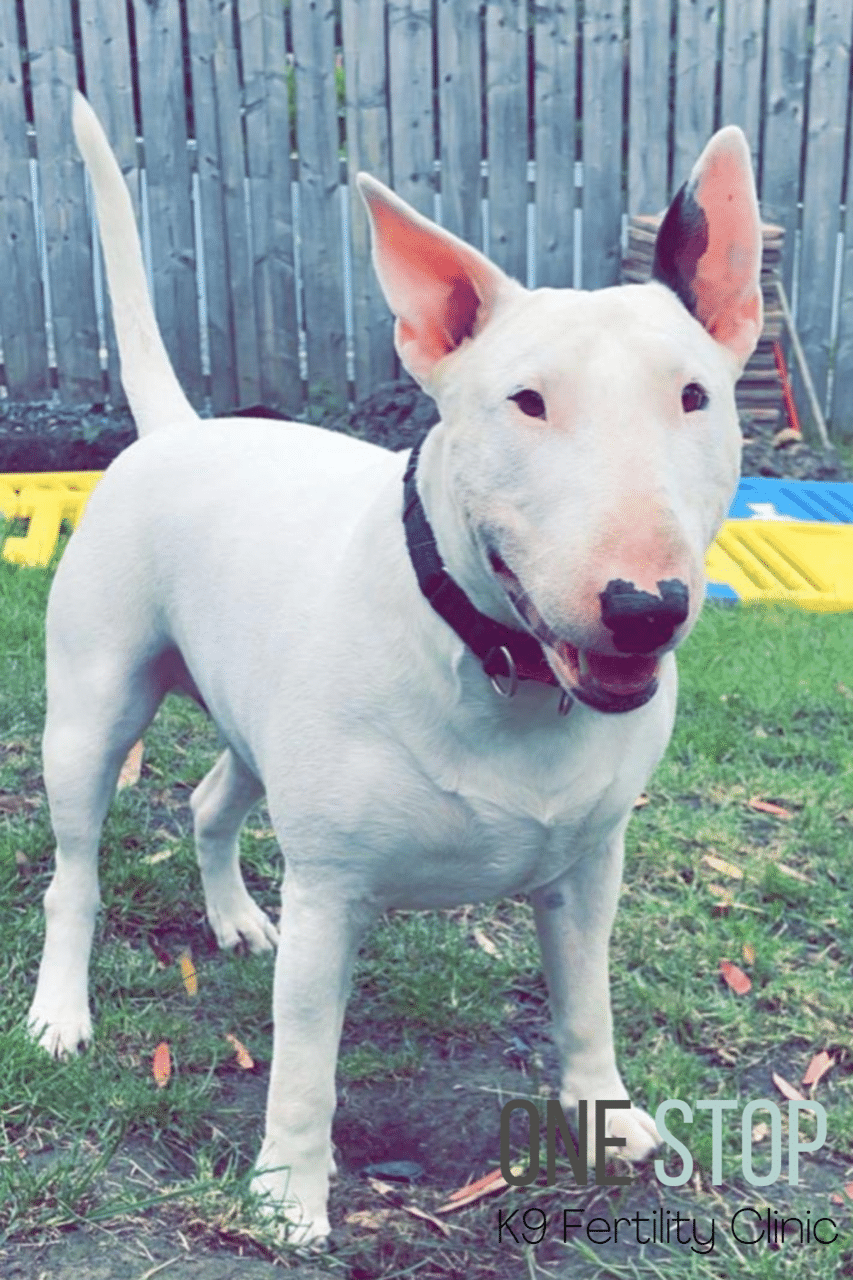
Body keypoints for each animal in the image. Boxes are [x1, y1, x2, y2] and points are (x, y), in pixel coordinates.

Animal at [28, 94, 758, 1244]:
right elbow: (304, 1065)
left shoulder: (589, 868)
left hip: (252, 721)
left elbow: (584, 1002)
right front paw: (287, 1195)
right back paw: (60, 1009)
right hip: (91, 713)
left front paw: (607, 1117)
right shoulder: (331, 895)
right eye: (525, 401)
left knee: (208, 801)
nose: (643, 609)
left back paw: (235, 919)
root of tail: (180, 431)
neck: (500, 668)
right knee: (76, 875)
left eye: (695, 395)